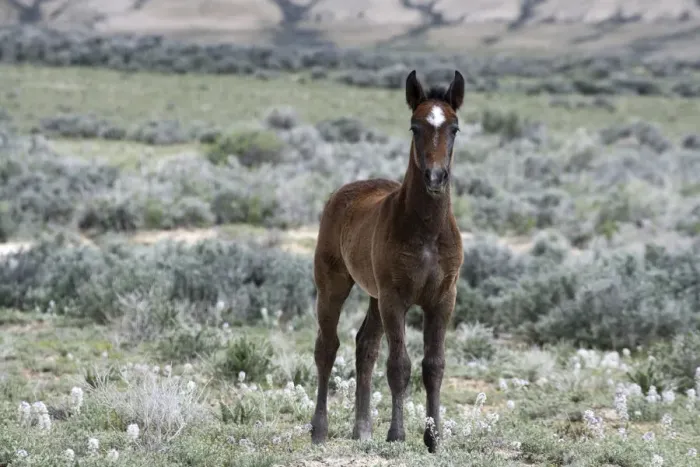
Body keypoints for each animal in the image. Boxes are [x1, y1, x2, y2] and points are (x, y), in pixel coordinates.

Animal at [310, 69, 465, 453]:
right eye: (415, 126)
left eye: (454, 128)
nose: (435, 177)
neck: (426, 231)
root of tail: (342, 193)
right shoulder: (396, 299)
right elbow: (399, 365)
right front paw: (397, 434)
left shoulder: (443, 300)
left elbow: (434, 366)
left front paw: (433, 438)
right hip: (333, 285)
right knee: (327, 347)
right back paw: (319, 430)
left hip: (374, 296)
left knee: (365, 346)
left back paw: (362, 429)